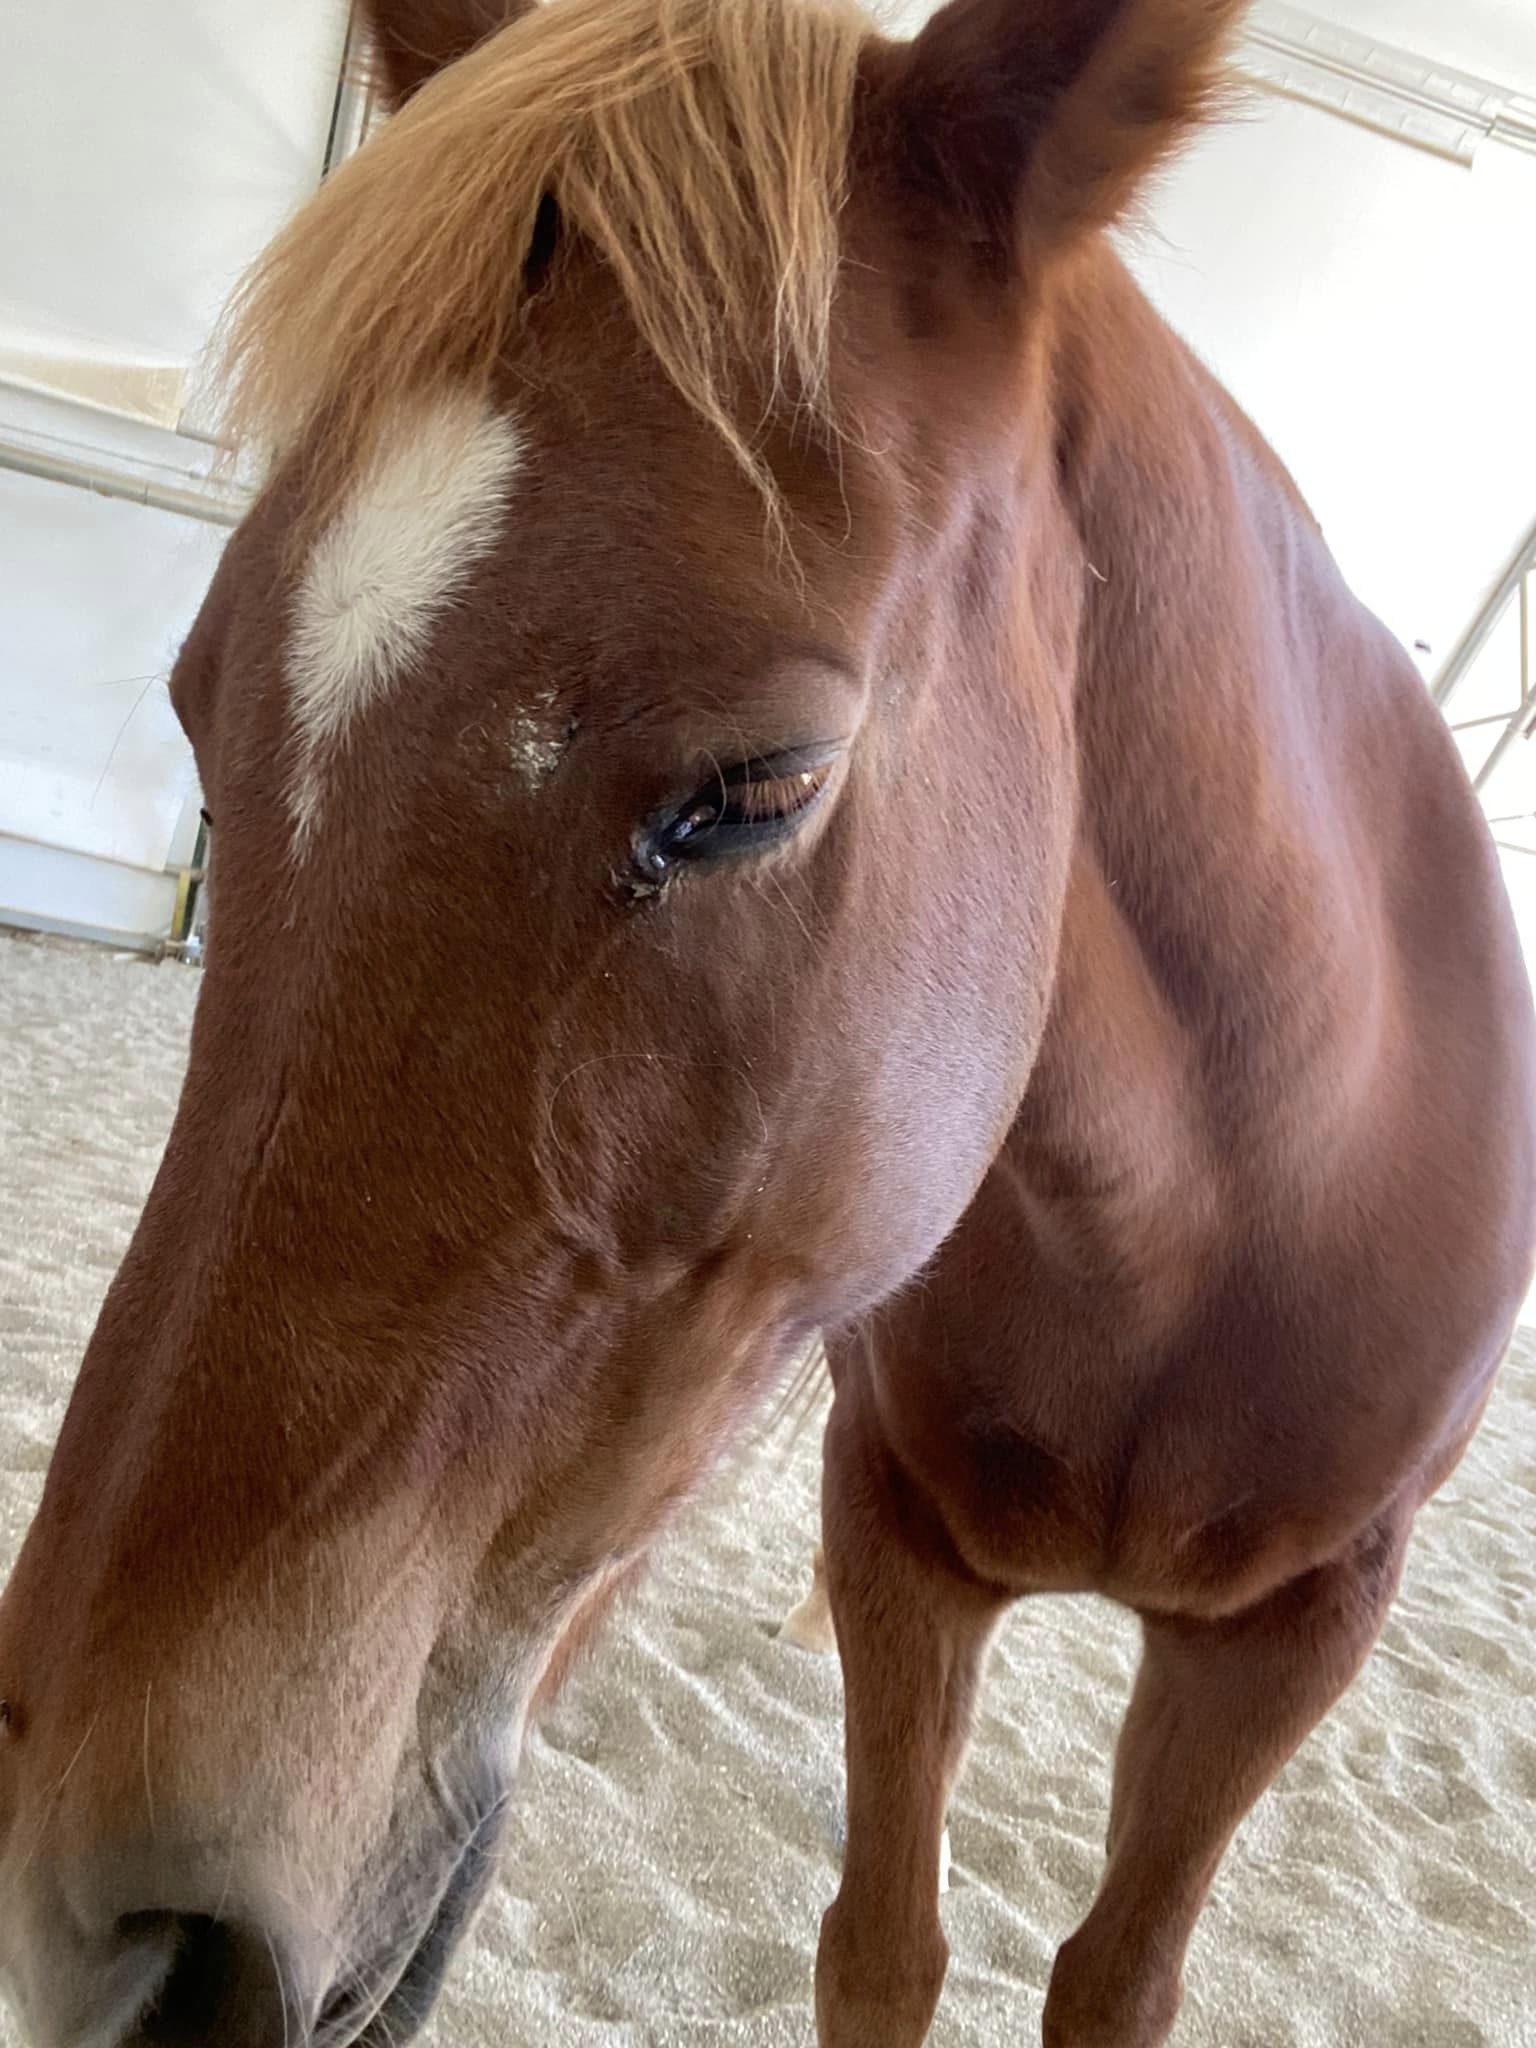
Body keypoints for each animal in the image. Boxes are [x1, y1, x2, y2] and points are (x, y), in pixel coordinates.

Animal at [2, 0, 1531, 2042]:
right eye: (199, 704)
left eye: (762, 789)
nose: (83, 1947)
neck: (1229, 1208)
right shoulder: (898, 1538)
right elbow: (878, 1948)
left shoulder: (1288, 1639)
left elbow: (1113, 1976)